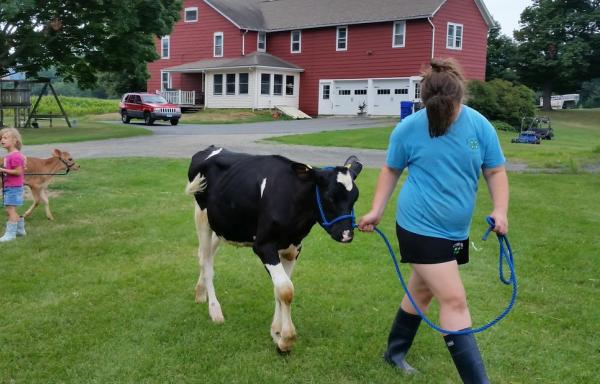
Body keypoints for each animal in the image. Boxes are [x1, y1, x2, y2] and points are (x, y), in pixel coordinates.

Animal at [185, 146, 360, 352]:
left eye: (355, 198)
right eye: (330, 197)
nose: (347, 234)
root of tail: (210, 149)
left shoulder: (293, 248)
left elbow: (280, 289)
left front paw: (276, 331)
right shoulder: (264, 246)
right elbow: (285, 289)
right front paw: (286, 339)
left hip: (222, 225)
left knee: (204, 256)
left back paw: (200, 293)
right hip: (202, 217)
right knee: (207, 262)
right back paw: (215, 310)